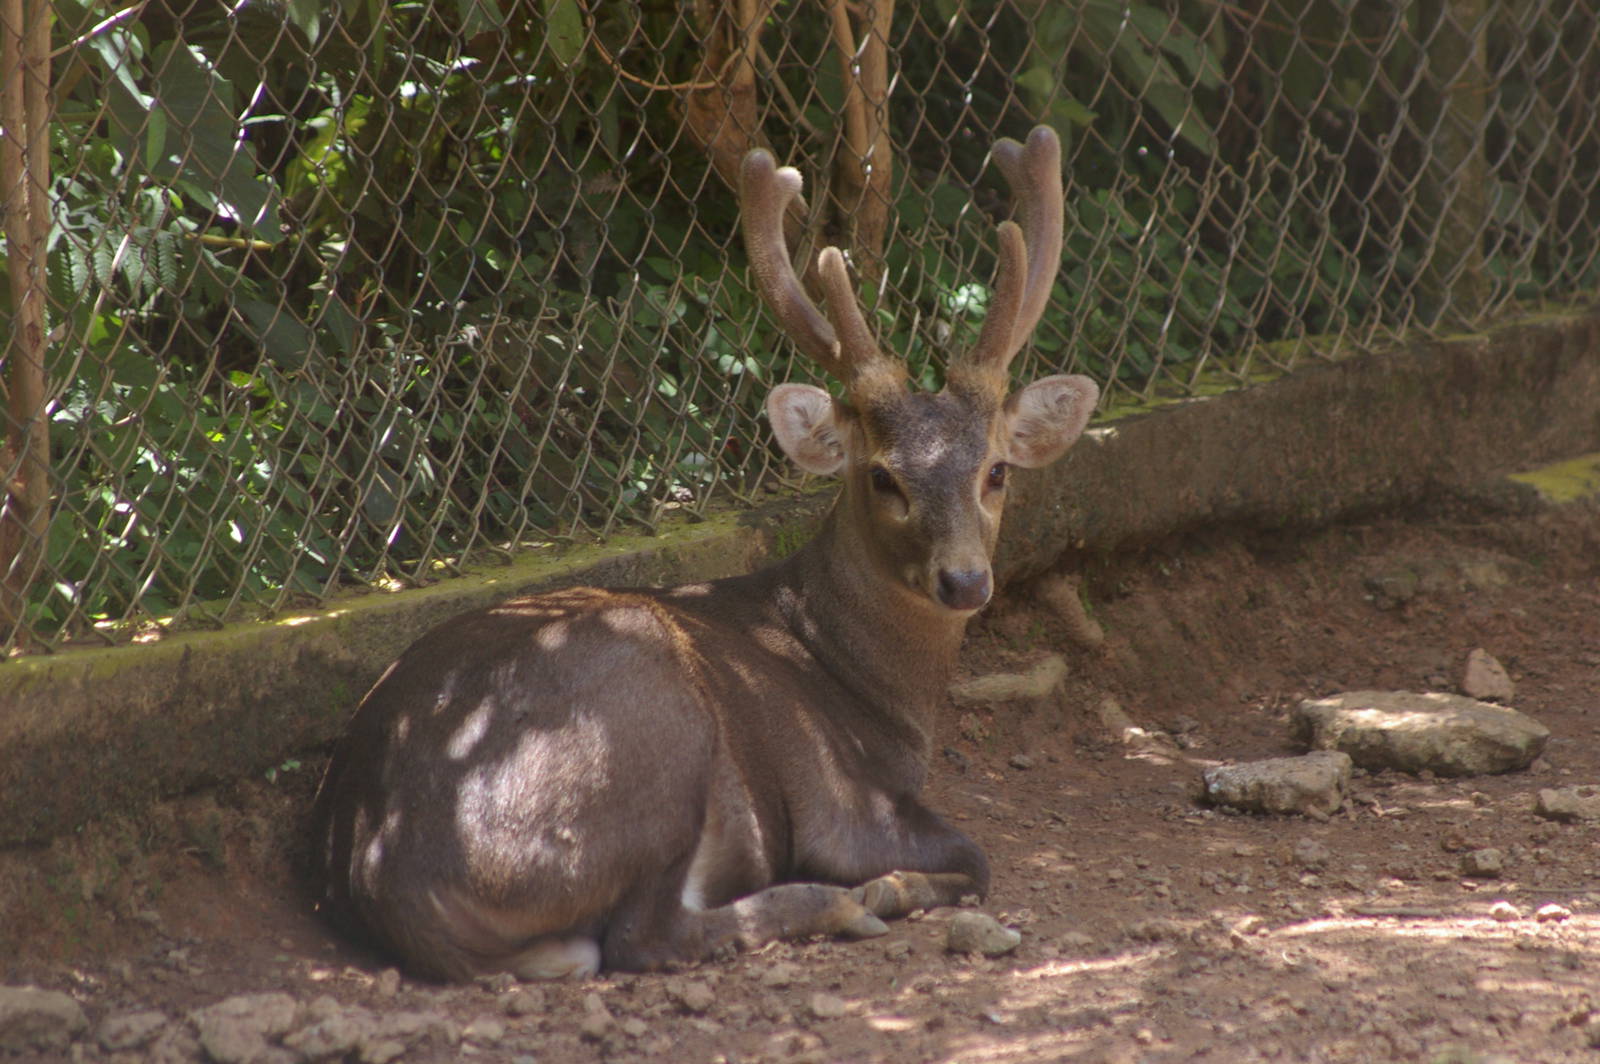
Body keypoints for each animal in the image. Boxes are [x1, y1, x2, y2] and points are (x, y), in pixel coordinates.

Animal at [309, 126, 1098, 982]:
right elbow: (977, 860)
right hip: (649, 720)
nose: (964, 580)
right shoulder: (840, 800)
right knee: (643, 935)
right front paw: (890, 887)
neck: (868, 685)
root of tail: (390, 878)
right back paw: (838, 905)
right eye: (883, 476)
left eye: (997, 470)